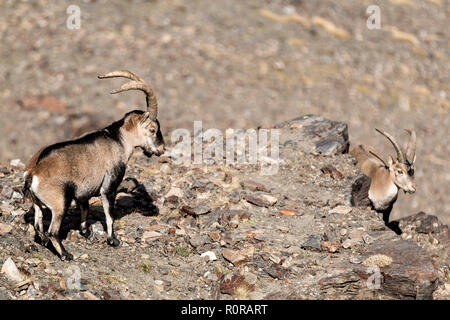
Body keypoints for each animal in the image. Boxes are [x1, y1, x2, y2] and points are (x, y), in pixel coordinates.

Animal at [23, 70, 165, 260]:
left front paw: (86, 231)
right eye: (152, 130)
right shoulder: (108, 187)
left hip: (38, 204)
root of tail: (33, 172)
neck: (118, 140)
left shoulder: (84, 191)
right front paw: (113, 240)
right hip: (60, 204)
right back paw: (66, 254)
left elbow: (85, 207)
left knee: (39, 225)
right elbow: (109, 214)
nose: (162, 149)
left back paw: (44, 242)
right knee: (53, 231)